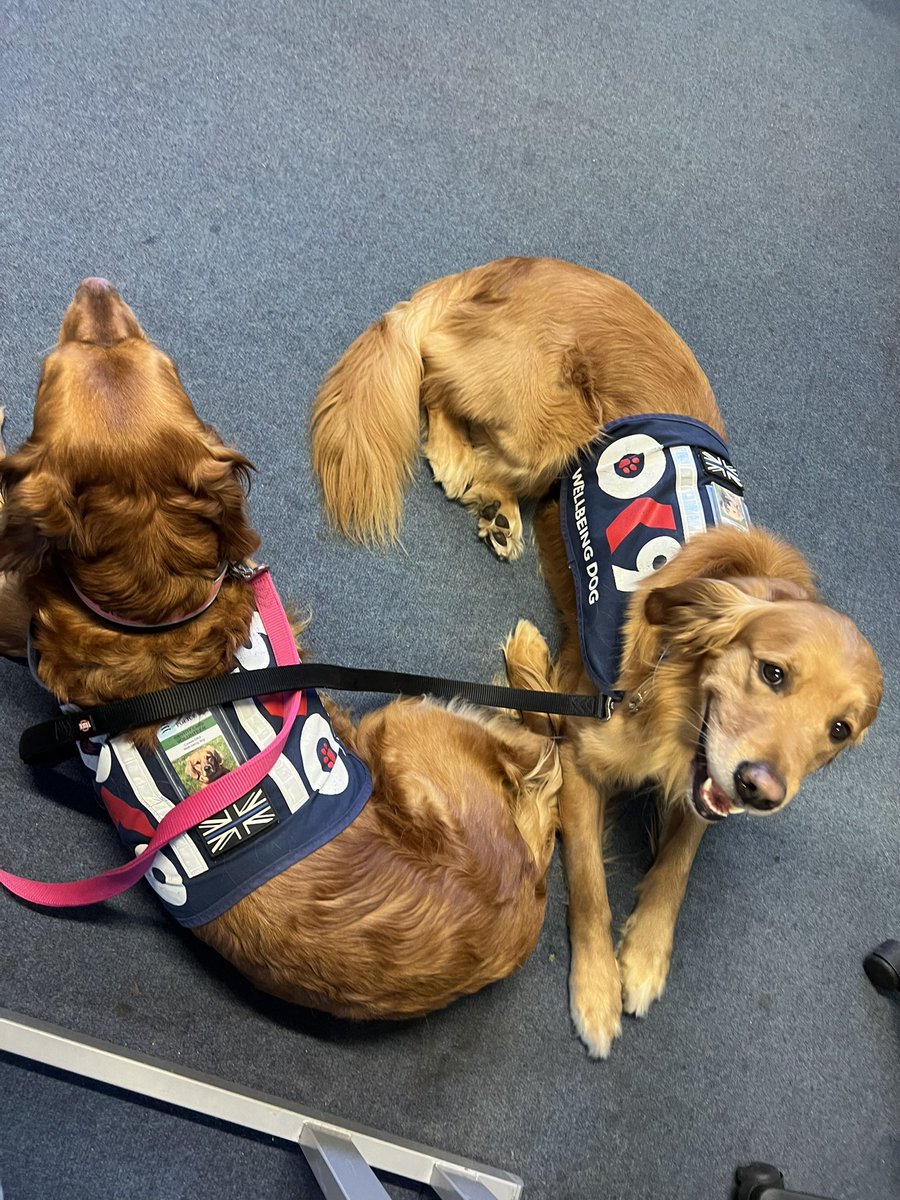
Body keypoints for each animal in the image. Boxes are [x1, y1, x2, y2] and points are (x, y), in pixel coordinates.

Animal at [0, 278, 564, 1022]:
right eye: (55, 369)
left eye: (160, 361)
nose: (98, 287)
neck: (150, 609)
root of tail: (520, 908)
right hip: (405, 728)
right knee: (543, 758)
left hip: (401, 725)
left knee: (547, 750)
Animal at [314, 253, 883, 1051]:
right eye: (772, 672)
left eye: (839, 730)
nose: (760, 790)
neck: (670, 698)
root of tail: (514, 265)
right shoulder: (581, 758)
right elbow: (587, 884)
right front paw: (596, 991)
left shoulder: (702, 779)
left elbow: (677, 862)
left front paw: (642, 958)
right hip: (555, 432)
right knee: (433, 386)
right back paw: (471, 476)